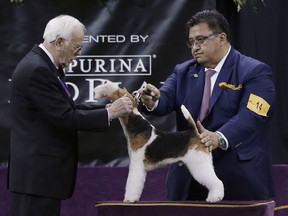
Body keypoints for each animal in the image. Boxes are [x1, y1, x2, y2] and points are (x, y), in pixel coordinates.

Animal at [93, 79, 224, 202]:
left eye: (111, 87)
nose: (97, 89)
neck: (135, 125)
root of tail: (194, 132)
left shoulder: (136, 164)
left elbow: (132, 183)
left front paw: (129, 199)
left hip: (200, 163)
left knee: (217, 181)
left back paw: (214, 198)